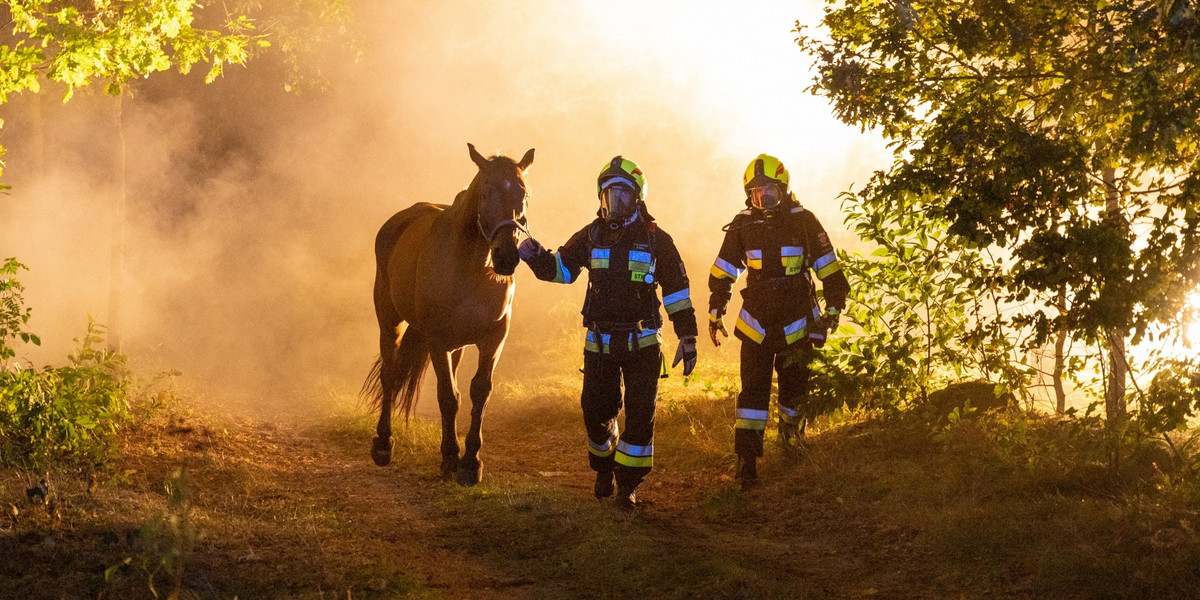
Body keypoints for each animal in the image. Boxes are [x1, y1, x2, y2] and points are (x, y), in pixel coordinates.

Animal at [360, 142, 535, 484]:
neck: (471, 267)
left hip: (458, 346)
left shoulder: (493, 338)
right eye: (485, 192)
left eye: (524, 193)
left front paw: (469, 462)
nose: (507, 257)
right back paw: (383, 444)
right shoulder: (438, 341)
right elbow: (447, 396)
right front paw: (452, 457)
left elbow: (477, 392)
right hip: (389, 320)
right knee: (390, 373)